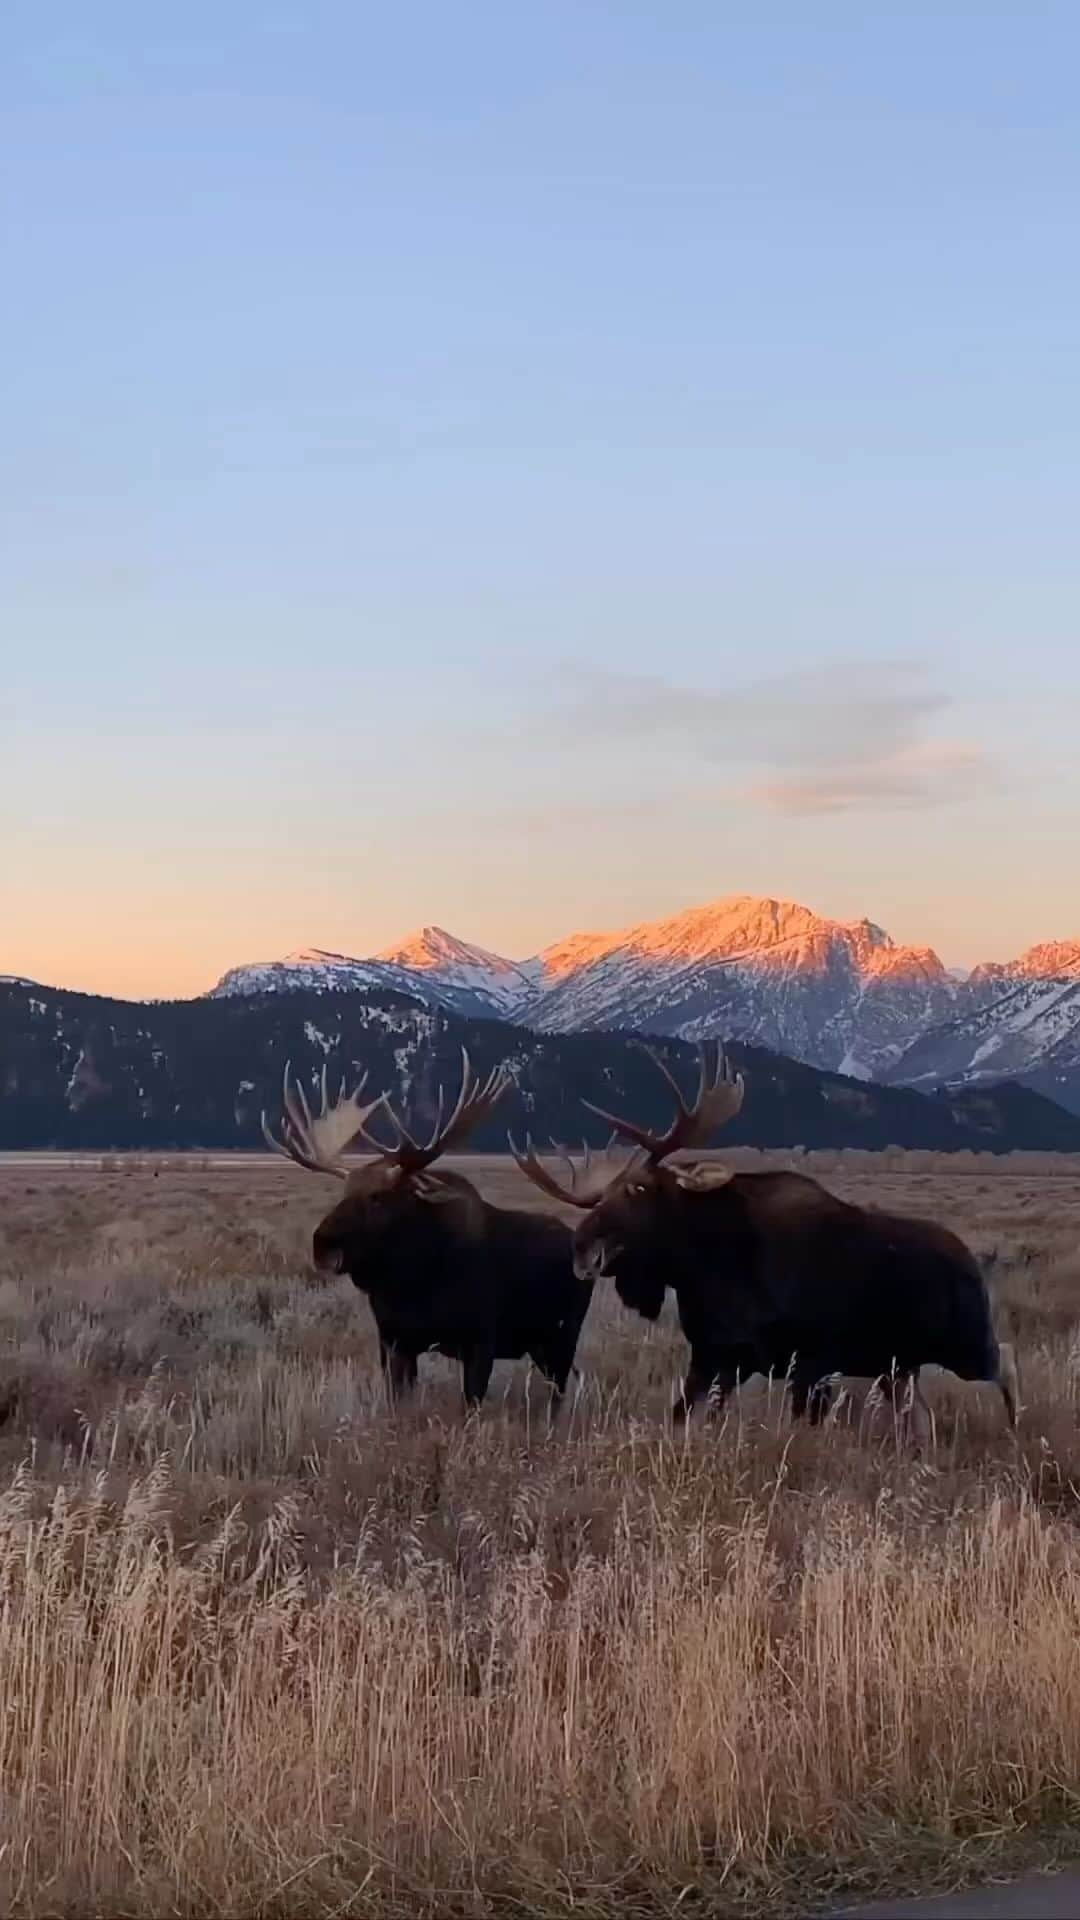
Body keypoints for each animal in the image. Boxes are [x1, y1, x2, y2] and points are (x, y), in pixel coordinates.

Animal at [263, 1052, 588, 1413]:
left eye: (378, 1197)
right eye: (343, 1192)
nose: (322, 1244)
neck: (412, 1281)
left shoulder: (481, 1340)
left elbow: (472, 1402)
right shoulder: (394, 1341)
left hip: (564, 1335)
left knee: (560, 1390)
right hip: (540, 1344)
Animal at [507, 1052, 1014, 1428]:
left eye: (640, 1188)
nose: (580, 1247)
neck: (704, 1270)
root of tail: (972, 1262)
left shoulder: (809, 1363)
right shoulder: (717, 1357)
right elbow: (682, 1416)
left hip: (971, 1346)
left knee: (1005, 1382)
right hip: (899, 1367)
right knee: (919, 1420)